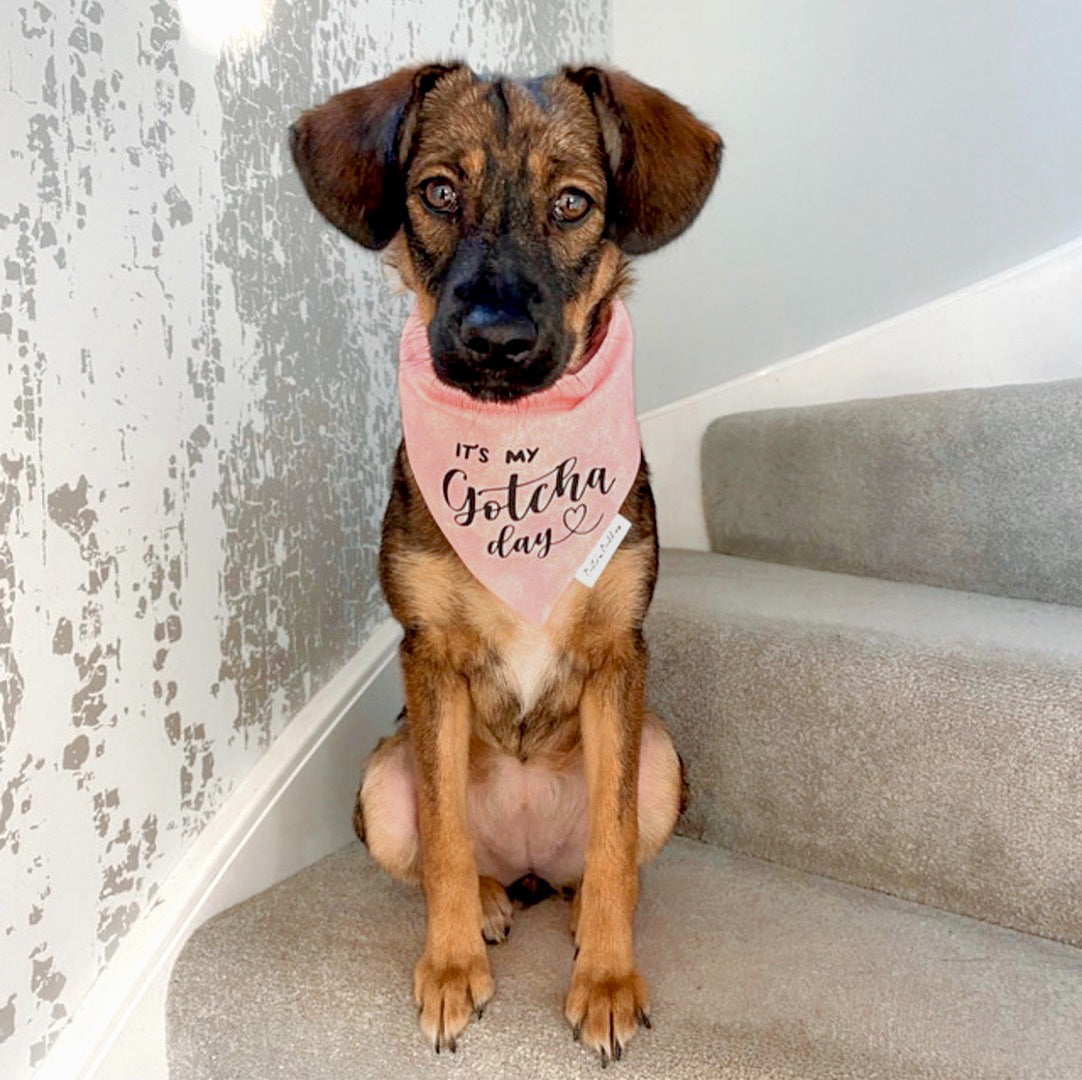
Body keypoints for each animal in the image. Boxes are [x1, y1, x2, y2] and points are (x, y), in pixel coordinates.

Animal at [292, 61, 722, 1064]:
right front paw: (451, 969)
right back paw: (488, 904)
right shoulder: (428, 656)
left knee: (593, 866)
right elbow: (447, 836)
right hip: (382, 781)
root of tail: (527, 862)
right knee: (444, 852)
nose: (494, 340)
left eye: (572, 203)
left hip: (662, 758)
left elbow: (612, 842)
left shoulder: (619, 656)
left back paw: (574, 915)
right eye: (438, 193)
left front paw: (606, 980)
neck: (519, 454)